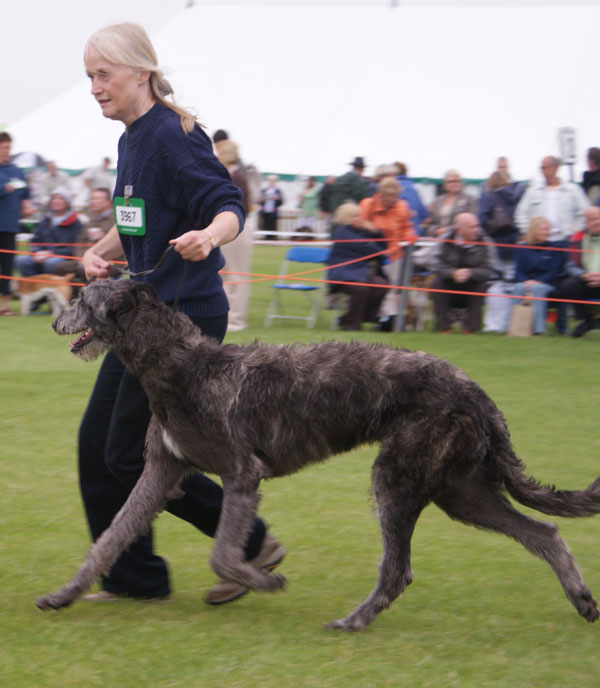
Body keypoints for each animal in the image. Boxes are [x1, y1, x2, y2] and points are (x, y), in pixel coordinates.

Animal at [38, 280, 600, 628]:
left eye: (83, 297)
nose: (55, 322)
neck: (183, 365)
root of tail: (478, 393)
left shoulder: (242, 474)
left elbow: (221, 553)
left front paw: (261, 578)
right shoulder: (161, 470)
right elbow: (110, 538)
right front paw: (64, 593)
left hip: (400, 477)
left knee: (398, 569)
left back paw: (354, 621)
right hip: (459, 488)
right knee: (543, 532)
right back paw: (581, 598)